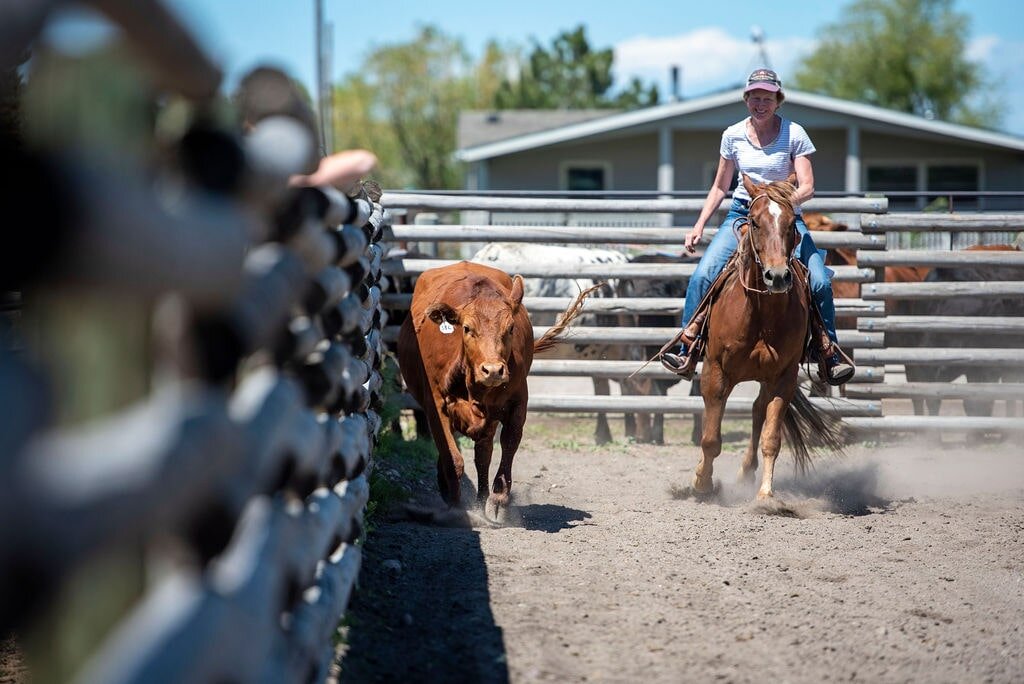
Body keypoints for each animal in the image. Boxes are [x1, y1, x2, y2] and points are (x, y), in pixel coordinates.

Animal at [691, 174, 845, 500]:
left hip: (766, 377)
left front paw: (765, 496)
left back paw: (747, 473)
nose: (777, 277)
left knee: (758, 410)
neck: (761, 315)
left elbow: (771, 439)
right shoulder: (715, 371)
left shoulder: (784, 377)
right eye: (755, 222)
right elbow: (710, 437)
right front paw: (702, 483)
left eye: (790, 223)